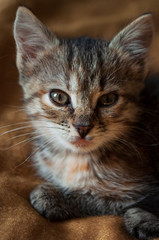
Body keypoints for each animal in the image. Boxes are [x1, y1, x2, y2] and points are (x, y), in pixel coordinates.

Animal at [13, 6, 159, 239]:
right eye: (58, 97)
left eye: (108, 100)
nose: (82, 127)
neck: (75, 159)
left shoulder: (138, 189)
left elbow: (108, 200)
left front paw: (55, 197)